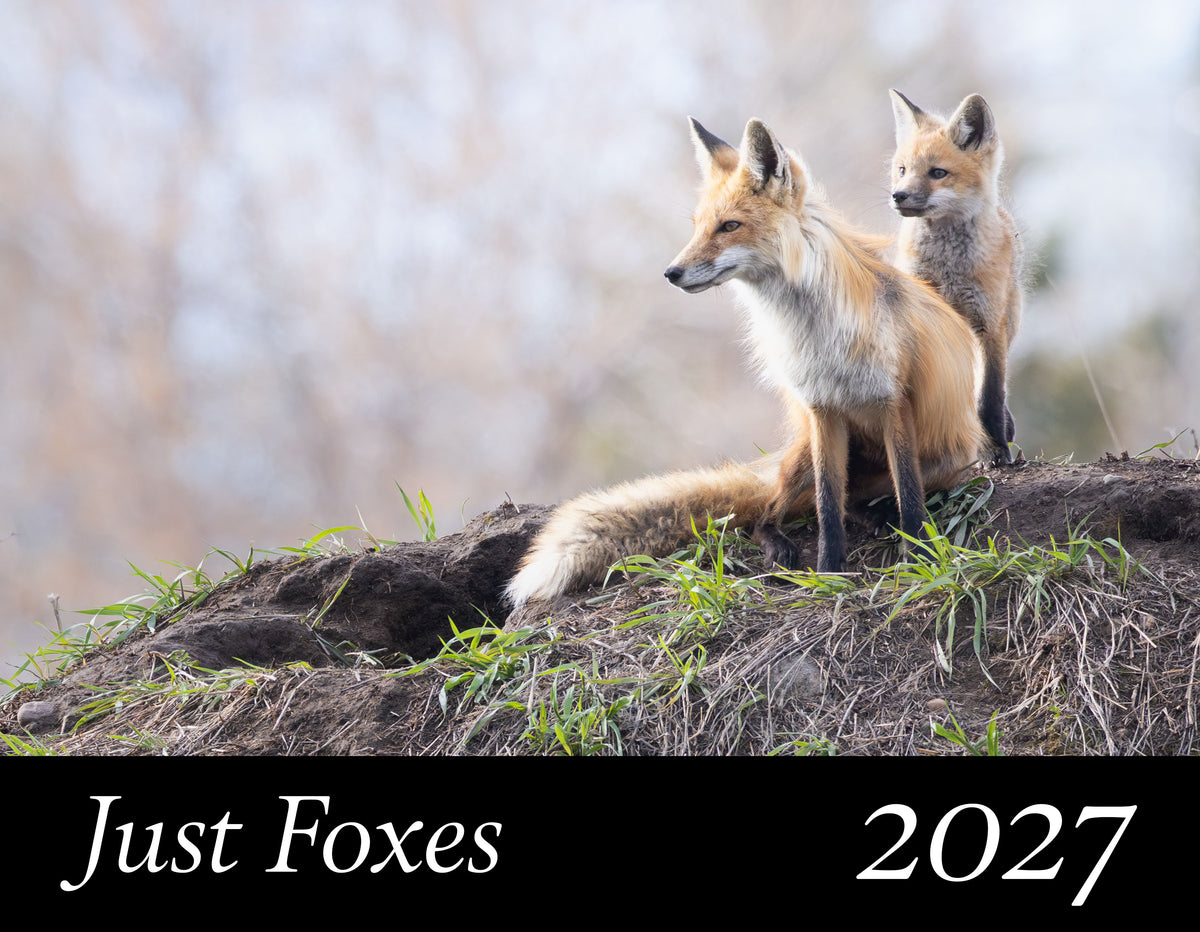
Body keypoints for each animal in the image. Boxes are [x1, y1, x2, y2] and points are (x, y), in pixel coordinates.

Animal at [505, 117, 985, 608]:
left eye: (729, 226)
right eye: (698, 226)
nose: (671, 273)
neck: (817, 336)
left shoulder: (893, 403)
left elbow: (909, 495)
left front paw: (919, 558)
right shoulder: (822, 410)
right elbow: (828, 508)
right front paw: (830, 574)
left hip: (950, 461)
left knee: (868, 496)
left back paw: (878, 515)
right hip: (802, 456)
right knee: (771, 514)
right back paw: (787, 541)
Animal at [888, 90, 1023, 465]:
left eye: (938, 173)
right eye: (902, 170)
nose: (898, 196)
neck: (948, 268)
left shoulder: (988, 325)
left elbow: (989, 397)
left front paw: (995, 450)